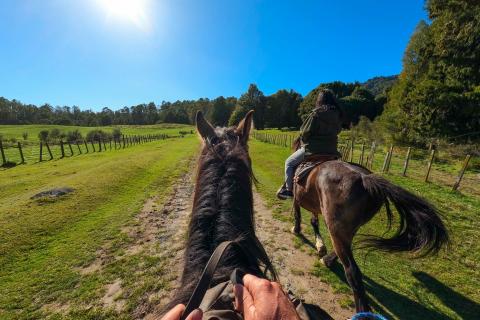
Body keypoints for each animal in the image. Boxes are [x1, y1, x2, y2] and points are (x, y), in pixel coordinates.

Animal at [292, 139, 450, 312]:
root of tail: (364, 179)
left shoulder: (296, 198)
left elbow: (298, 215)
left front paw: (297, 230)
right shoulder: (314, 206)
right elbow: (314, 222)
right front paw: (320, 246)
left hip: (336, 228)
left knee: (352, 271)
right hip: (346, 229)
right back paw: (327, 260)